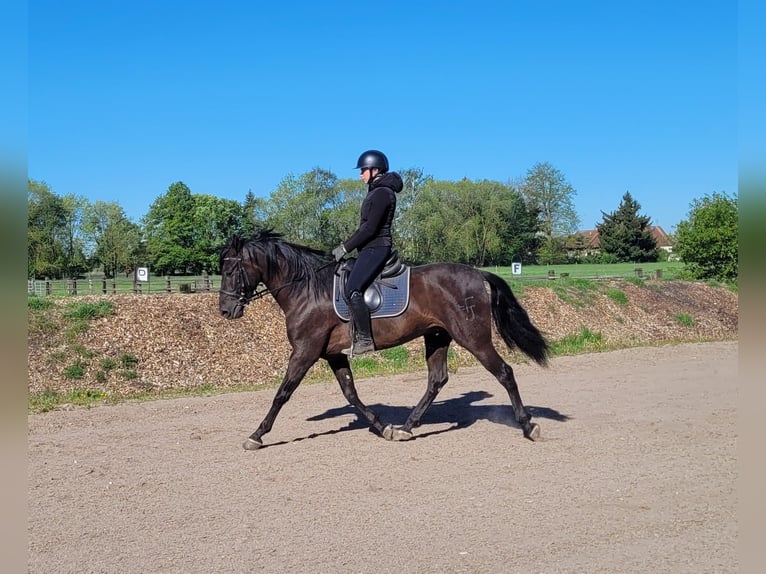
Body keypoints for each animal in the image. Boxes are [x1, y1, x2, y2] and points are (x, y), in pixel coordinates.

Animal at [219, 230, 550, 450]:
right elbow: (351, 394)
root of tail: (479, 274)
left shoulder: (305, 352)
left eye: (231, 269)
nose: (225, 310)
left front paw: (257, 435)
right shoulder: (333, 354)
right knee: (437, 380)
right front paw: (382, 426)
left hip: (473, 338)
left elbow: (282, 393)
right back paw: (406, 427)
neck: (307, 290)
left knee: (504, 373)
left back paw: (528, 425)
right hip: (437, 336)